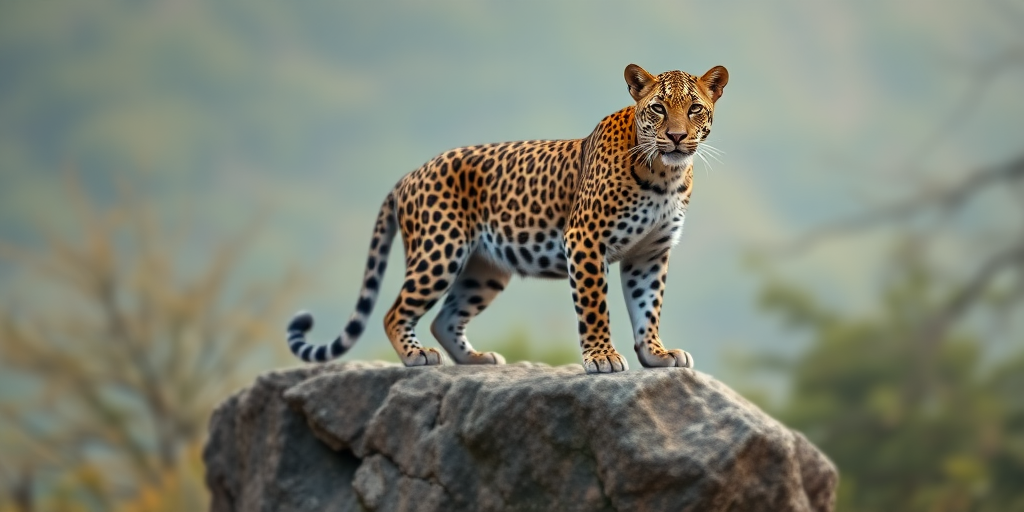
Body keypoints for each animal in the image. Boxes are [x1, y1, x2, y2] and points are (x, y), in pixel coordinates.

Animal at [286, 64, 728, 374]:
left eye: (694, 109)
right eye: (658, 108)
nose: (675, 137)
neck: (666, 176)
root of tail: (409, 174)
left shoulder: (649, 254)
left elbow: (647, 306)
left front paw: (655, 355)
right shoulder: (585, 239)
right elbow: (594, 305)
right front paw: (602, 357)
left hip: (485, 269)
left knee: (445, 319)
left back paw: (476, 359)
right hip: (439, 251)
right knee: (395, 313)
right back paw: (416, 356)